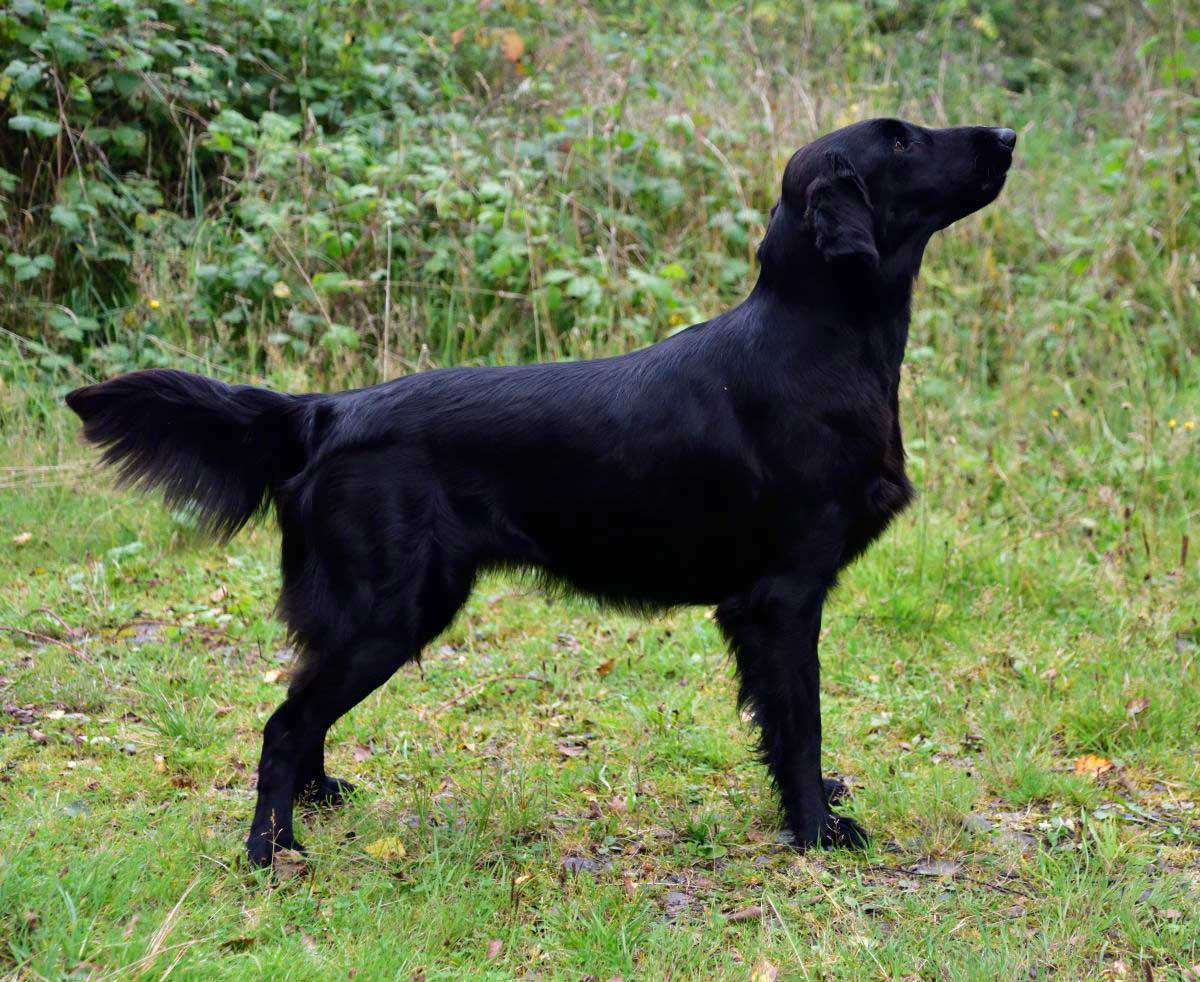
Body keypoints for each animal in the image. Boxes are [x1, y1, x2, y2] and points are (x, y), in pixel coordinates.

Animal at [68, 118, 1012, 859]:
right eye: (902, 140)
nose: (1005, 135)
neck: (817, 343)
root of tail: (327, 409)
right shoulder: (781, 595)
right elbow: (801, 724)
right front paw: (818, 832)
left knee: (304, 709)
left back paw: (320, 800)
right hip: (391, 608)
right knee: (283, 724)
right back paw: (272, 850)